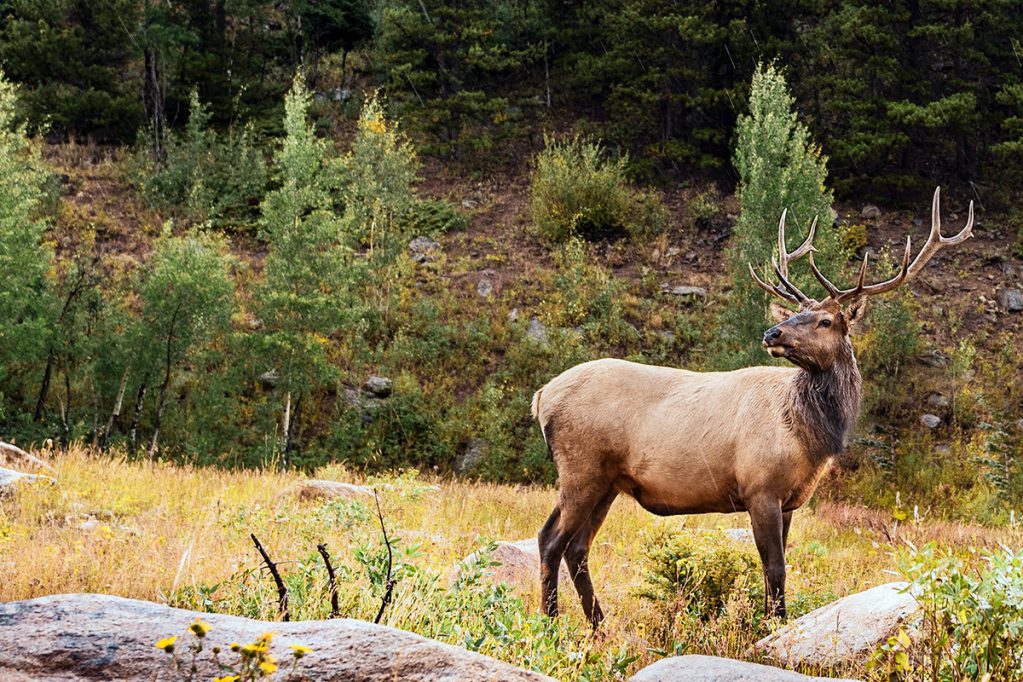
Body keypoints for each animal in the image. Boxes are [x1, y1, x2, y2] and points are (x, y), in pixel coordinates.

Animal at [531, 187, 973, 627]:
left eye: (825, 321)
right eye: (798, 313)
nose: (772, 332)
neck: (809, 437)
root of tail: (542, 397)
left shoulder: (789, 499)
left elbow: (771, 569)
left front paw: (768, 622)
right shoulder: (760, 487)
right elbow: (775, 568)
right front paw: (773, 626)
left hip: (607, 481)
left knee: (578, 547)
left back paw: (599, 627)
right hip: (582, 467)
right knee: (551, 539)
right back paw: (551, 624)